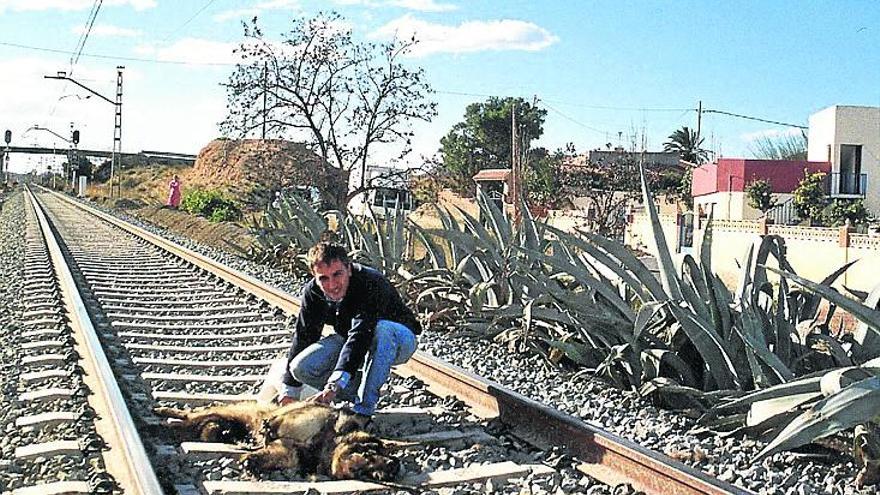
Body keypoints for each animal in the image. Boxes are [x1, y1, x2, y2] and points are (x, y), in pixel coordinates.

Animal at [154, 402, 398, 482]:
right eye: (371, 452)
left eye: (373, 474)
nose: (393, 466)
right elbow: (271, 429)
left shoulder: (285, 452)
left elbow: (259, 456)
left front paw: (250, 465)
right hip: (216, 413)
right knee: (186, 417)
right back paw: (160, 414)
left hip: (215, 425)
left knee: (200, 429)